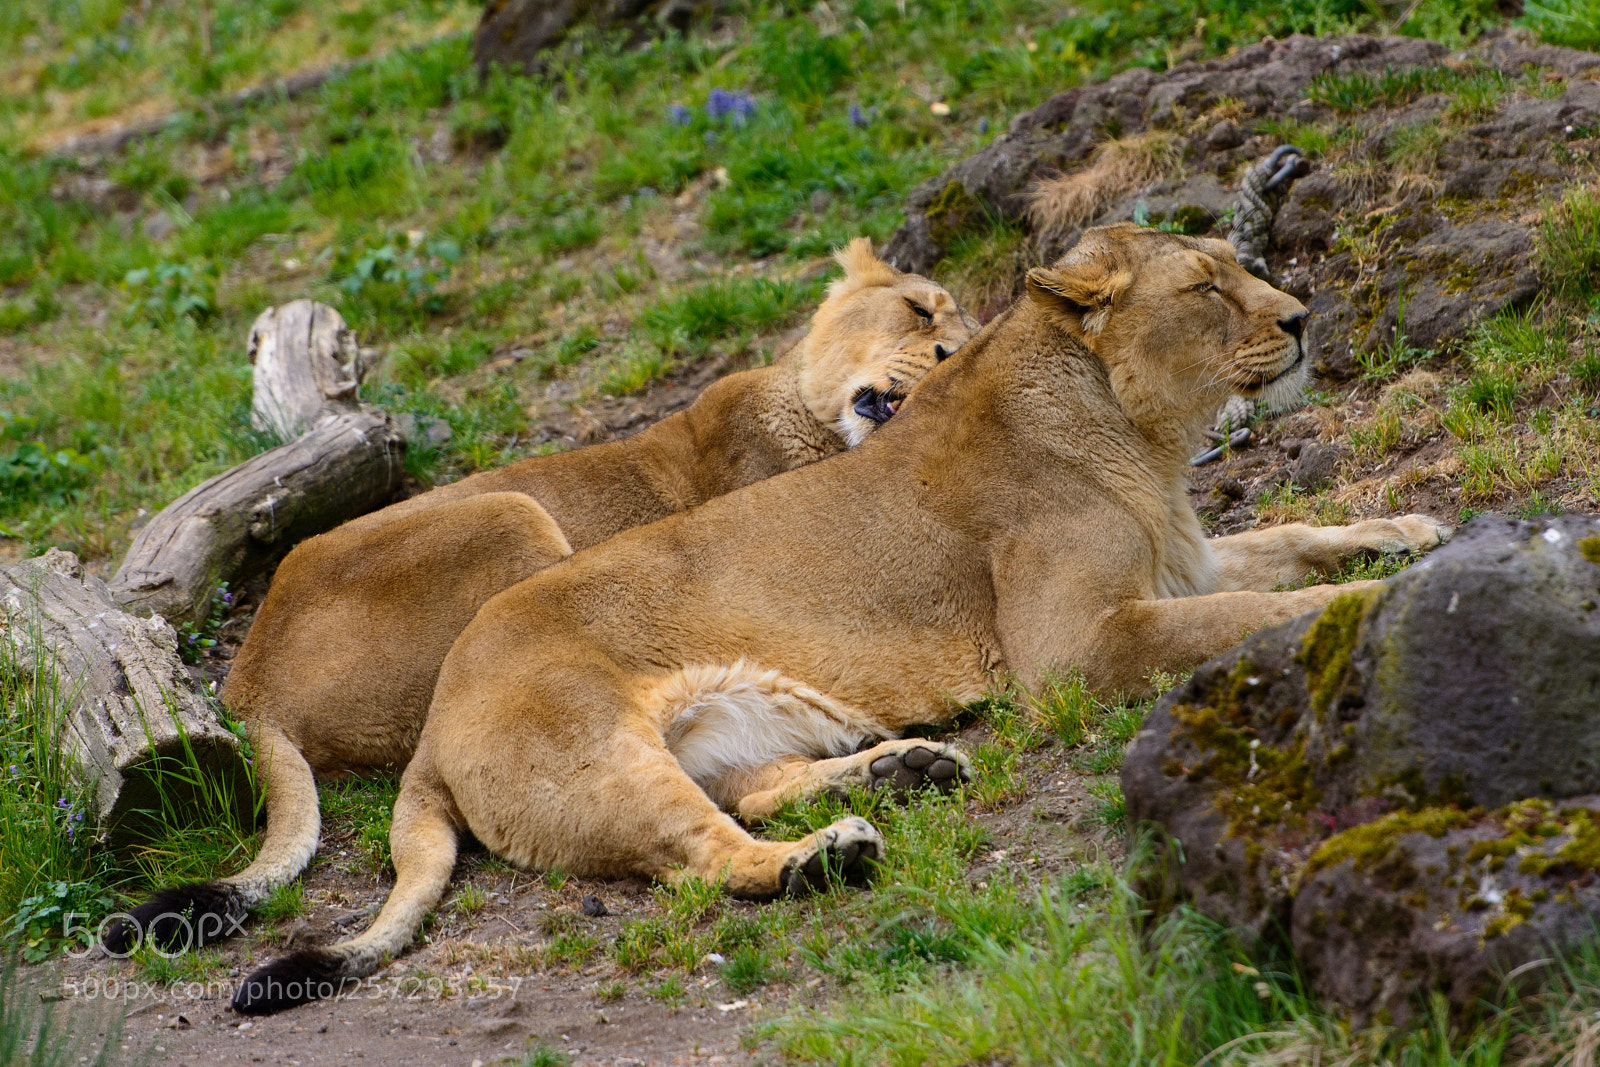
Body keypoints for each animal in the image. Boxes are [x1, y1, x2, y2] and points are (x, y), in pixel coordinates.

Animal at [105, 240, 974, 955]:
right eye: (919, 308)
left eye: (964, 338)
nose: (947, 354)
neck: (800, 408)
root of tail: (245, 680)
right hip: (515, 516)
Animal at [231, 224, 1449, 1013]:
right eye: (1206, 285)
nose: (1303, 317)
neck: (1138, 435)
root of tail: (434, 729)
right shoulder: (1074, 646)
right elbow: (1254, 601)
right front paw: (1358, 607)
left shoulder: (1179, 563)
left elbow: (1287, 538)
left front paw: (1408, 528)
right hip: (589, 740)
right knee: (705, 857)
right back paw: (831, 855)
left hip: (731, 721)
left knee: (749, 790)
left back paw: (901, 770)